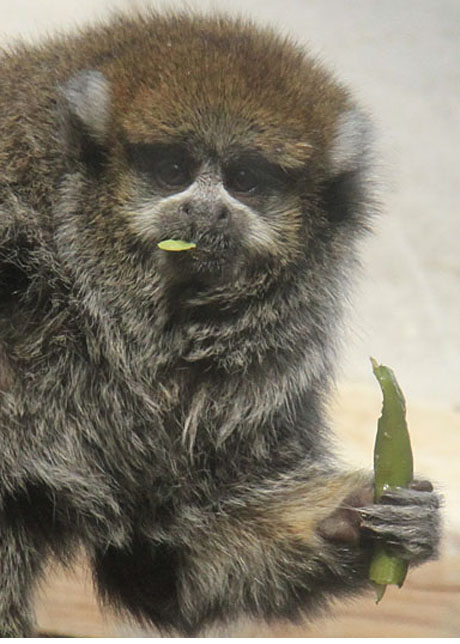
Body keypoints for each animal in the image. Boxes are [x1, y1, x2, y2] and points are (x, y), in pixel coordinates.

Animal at [0, 10, 441, 637]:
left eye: (246, 180)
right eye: (172, 170)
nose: (207, 210)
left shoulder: (267, 371)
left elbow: (171, 556)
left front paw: (368, 520)